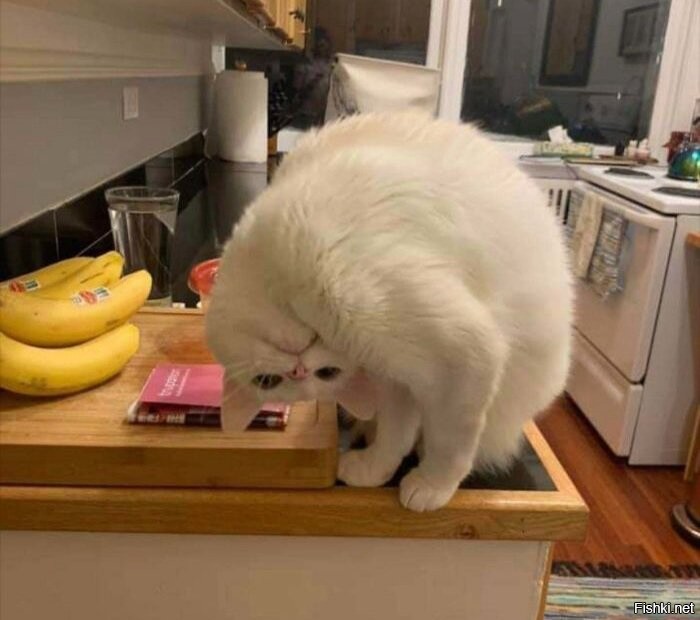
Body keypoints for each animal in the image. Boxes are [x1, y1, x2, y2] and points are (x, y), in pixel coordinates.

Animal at [205, 111, 573, 512]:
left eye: (327, 373)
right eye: (268, 382)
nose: (300, 370)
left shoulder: (460, 355)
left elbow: (450, 446)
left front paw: (432, 487)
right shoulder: (403, 375)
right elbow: (395, 437)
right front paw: (374, 471)